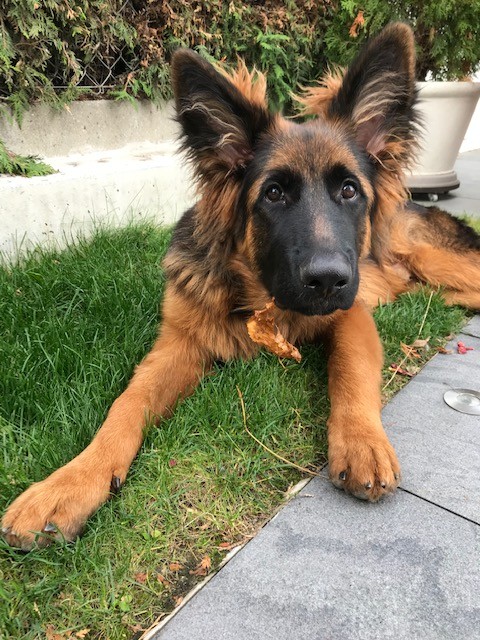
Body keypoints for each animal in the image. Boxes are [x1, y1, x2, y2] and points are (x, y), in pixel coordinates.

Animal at [3, 22, 480, 549]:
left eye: (349, 190)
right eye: (273, 193)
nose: (328, 281)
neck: (262, 300)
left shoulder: (351, 315)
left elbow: (350, 369)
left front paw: (362, 441)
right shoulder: (178, 343)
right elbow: (126, 405)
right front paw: (68, 484)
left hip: (424, 255)